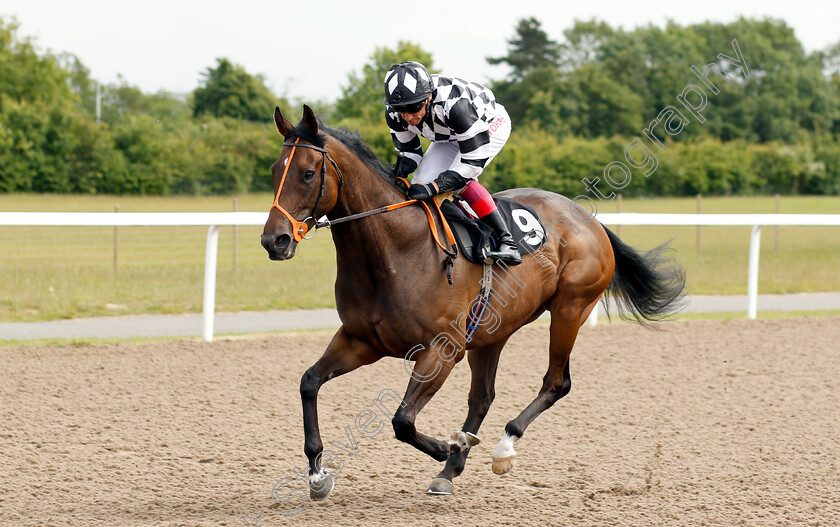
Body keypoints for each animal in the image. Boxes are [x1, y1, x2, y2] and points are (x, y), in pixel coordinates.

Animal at [262, 106, 688, 500]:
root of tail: (589, 219)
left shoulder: (442, 350)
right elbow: (309, 382)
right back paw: (451, 469)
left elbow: (402, 420)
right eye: (274, 169)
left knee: (556, 382)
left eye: (307, 174)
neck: (395, 250)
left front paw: (446, 446)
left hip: (570, 309)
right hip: (491, 331)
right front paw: (318, 476)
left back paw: (501, 447)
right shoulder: (361, 341)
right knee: (482, 397)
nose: (274, 241)